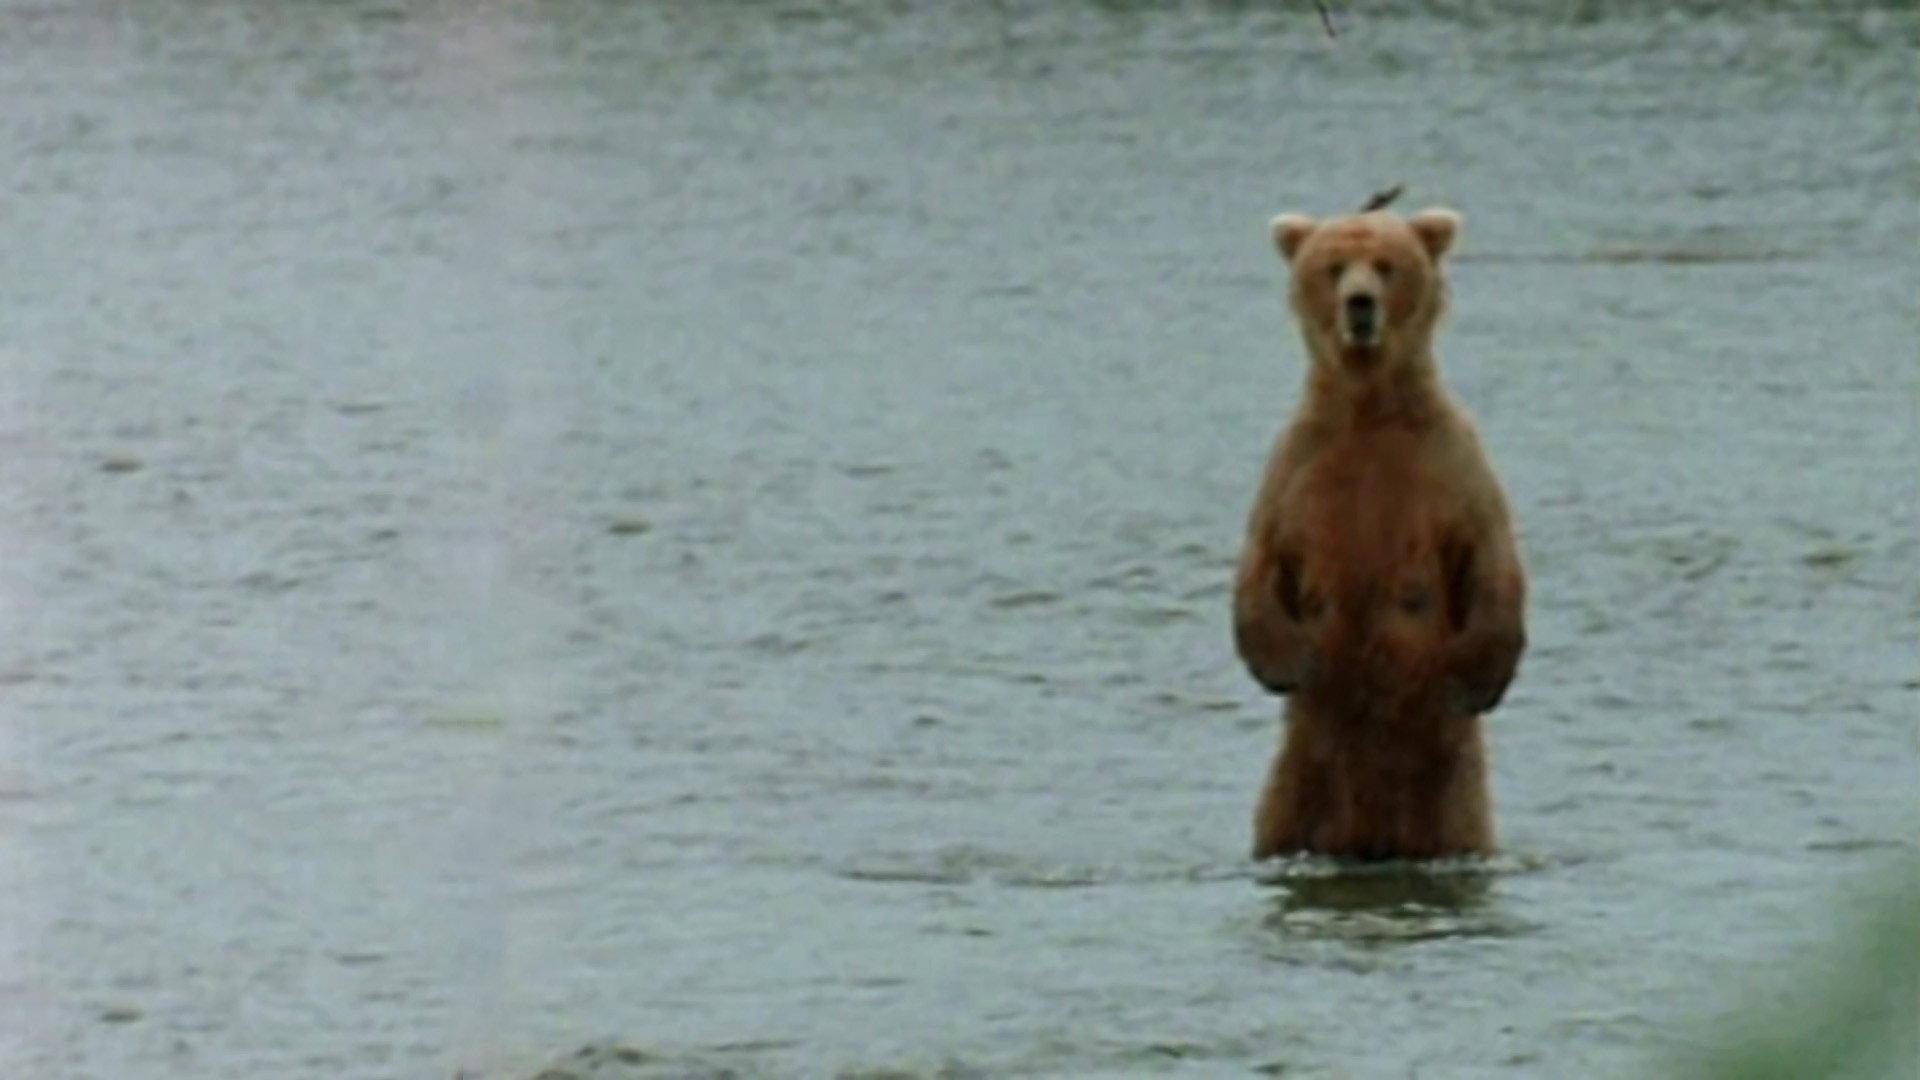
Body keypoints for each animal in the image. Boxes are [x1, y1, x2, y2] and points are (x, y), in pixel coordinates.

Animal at [1232, 205, 1527, 860]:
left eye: (1386, 265)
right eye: (1333, 265)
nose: (1359, 303)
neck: (1368, 410)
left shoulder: (1449, 464)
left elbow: (1492, 557)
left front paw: (1477, 680)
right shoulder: (1298, 468)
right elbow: (1262, 559)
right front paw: (1286, 662)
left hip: (1453, 797)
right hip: (1291, 789)